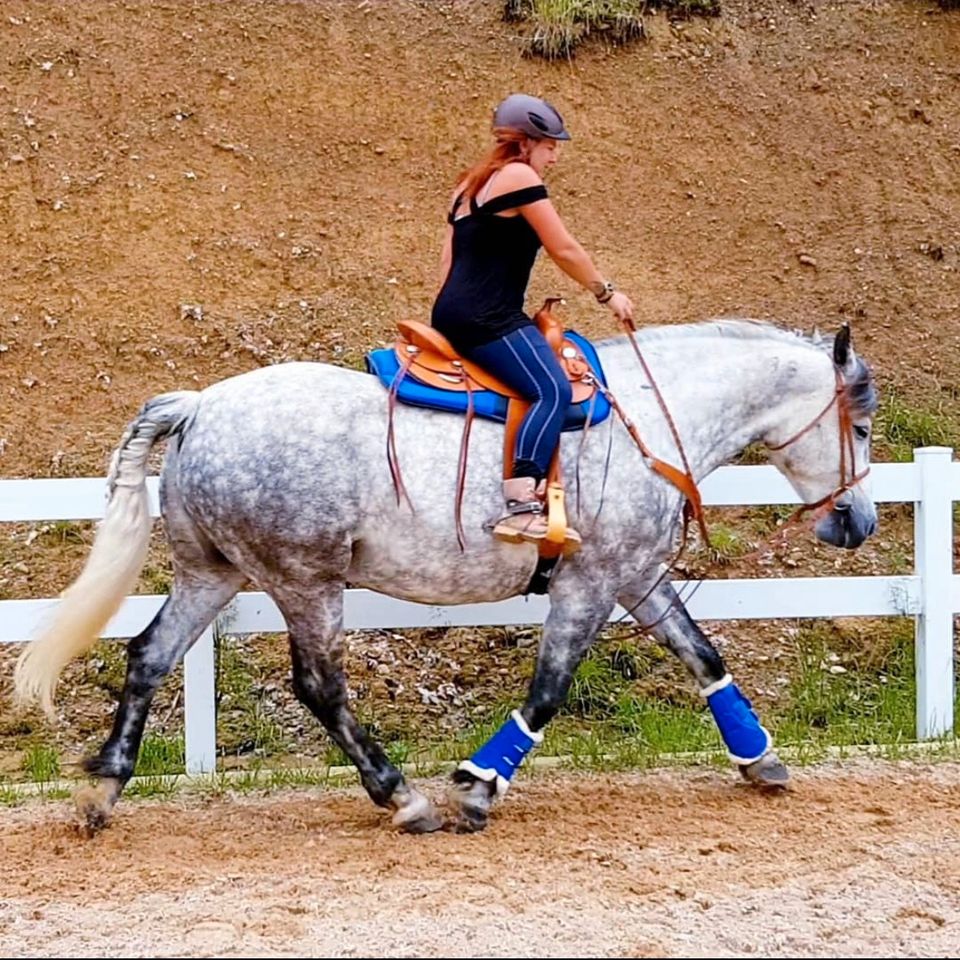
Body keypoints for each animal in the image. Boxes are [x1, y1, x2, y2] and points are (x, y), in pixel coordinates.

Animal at [13, 320, 876, 832]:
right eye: (861, 425)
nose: (859, 523)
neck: (651, 421)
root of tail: (199, 407)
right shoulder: (590, 583)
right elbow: (549, 690)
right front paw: (477, 783)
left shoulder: (634, 575)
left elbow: (704, 655)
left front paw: (759, 757)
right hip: (304, 582)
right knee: (320, 688)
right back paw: (404, 797)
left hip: (213, 573)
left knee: (149, 657)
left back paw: (103, 791)